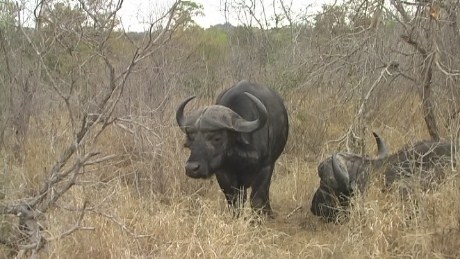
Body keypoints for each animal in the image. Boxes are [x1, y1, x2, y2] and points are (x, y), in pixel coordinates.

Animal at [175, 81, 288, 217]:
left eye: (217, 138)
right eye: (192, 138)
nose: (192, 168)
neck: (238, 157)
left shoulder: (265, 167)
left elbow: (257, 199)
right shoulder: (223, 173)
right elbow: (234, 200)